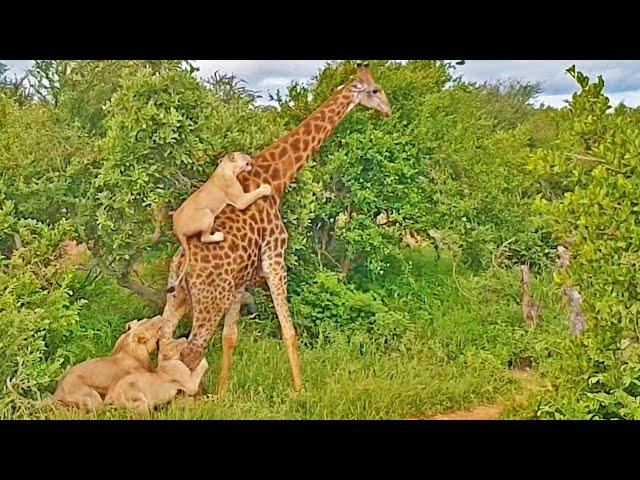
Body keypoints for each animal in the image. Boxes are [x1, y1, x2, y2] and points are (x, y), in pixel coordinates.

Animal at [160, 62, 390, 394]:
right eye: (374, 90)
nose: (389, 110)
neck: (277, 177)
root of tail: (183, 261)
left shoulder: (240, 282)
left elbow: (230, 338)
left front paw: (223, 393)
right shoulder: (275, 258)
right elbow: (288, 330)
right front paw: (300, 391)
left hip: (177, 296)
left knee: (165, 339)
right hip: (209, 300)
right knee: (191, 349)